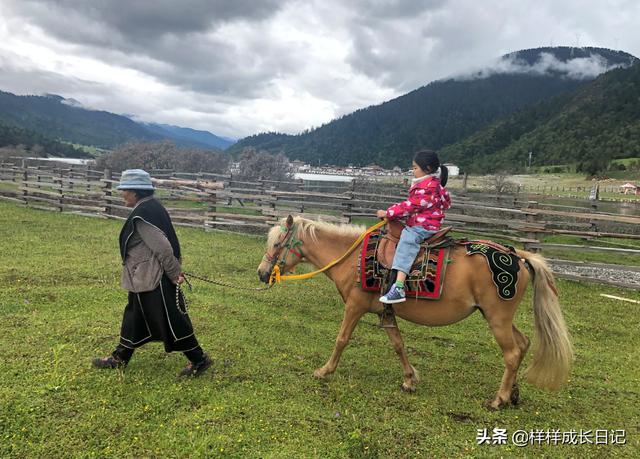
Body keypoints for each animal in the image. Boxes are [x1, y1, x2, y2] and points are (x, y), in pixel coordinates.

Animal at [258, 216, 572, 410]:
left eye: (276, 244)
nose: (261, 273)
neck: (351, 258)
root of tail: (518, 256)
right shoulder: (385, 312)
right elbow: (398, 344)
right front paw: (410, 379)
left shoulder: (355, 306)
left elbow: (342, 339)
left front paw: (324, 371)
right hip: (497, 318)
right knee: (523, 344)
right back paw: (513, 394)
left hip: (497, 318)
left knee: (512, 352)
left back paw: (499, 399)